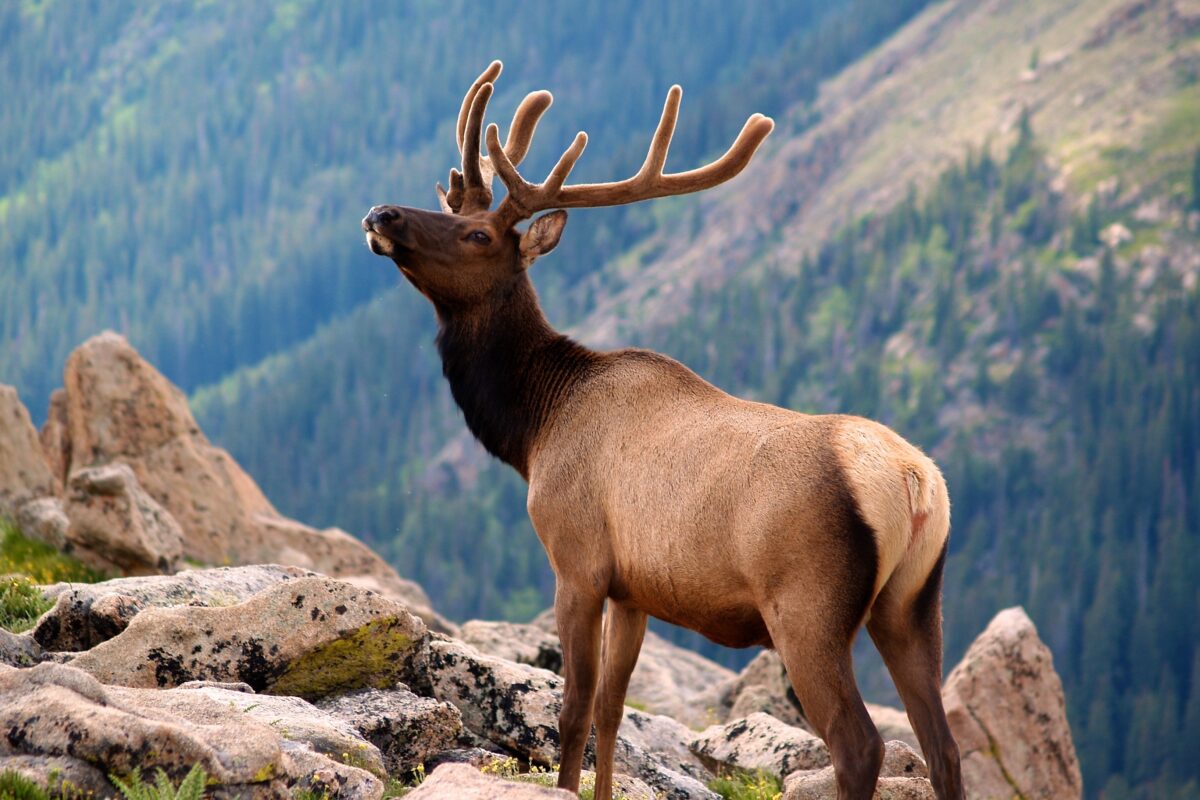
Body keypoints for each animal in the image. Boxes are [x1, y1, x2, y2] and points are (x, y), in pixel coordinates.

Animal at [360, 62, 960, 800]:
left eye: (479, 235)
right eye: (451, 212)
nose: (382, 213)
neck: (534, 428)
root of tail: (914, 483)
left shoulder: (577, 559)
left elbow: (573, 708)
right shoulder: (635, 590)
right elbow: (613, 710)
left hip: (807, 606)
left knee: (860, 743)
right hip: (914, 603)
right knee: (944, 747)